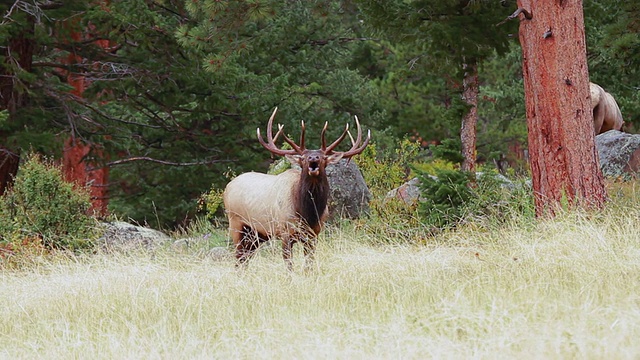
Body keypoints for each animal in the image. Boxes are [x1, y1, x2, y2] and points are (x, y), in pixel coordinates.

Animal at [222, 107, 370, 270]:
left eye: (323, 158)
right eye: (303, 158)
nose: (313, 158)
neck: (307, 213)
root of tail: (227, 187)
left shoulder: (314, 234)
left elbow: (309, 264)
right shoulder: (285, 232)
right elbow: (289, 266)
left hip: (257, 234)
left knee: (244, 259)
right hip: (236, 224)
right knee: (238, 259)